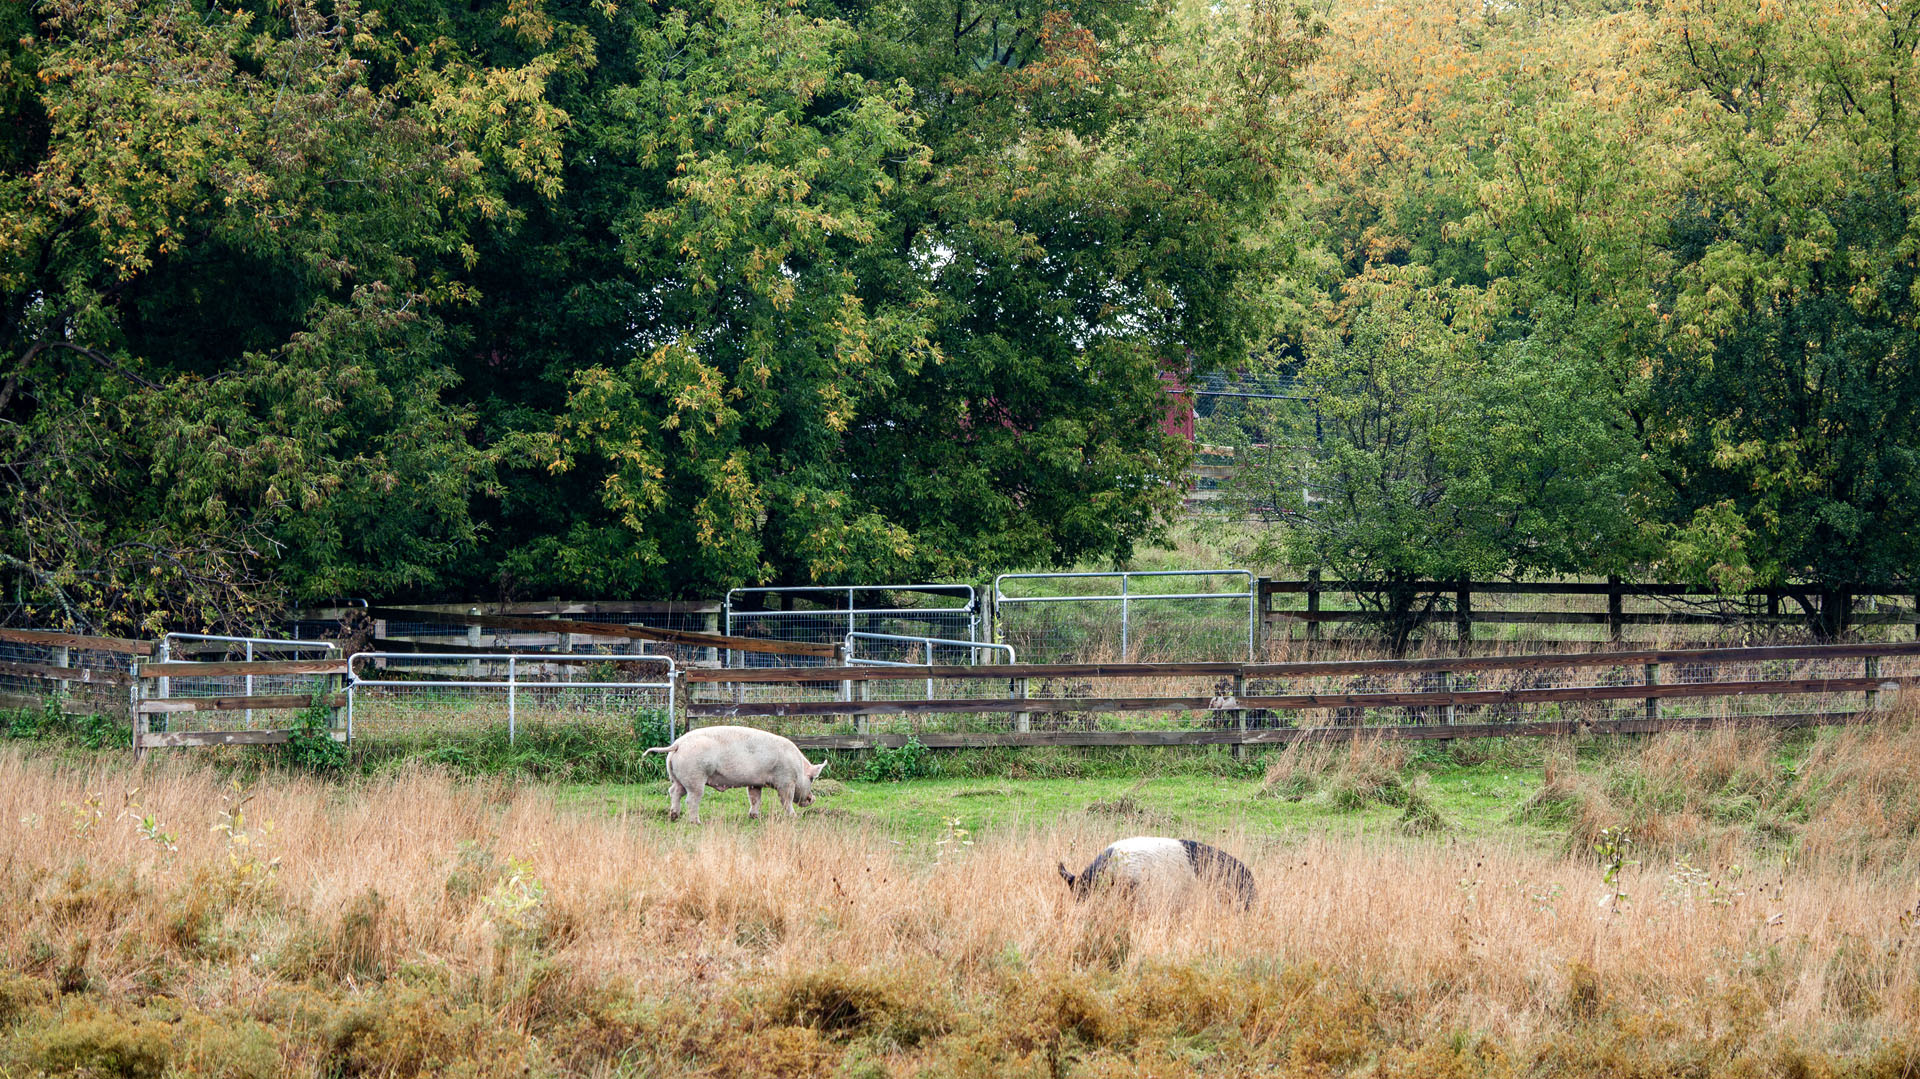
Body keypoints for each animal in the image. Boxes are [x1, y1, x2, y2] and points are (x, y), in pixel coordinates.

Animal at [642, 725, 828, 823]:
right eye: (812, 778)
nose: (812, 799)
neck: (798, 767)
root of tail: (678, 744)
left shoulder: (755, 783)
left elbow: (755, 799)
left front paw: (754, 817)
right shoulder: (785, 781)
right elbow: (786, 800)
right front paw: (794, 817)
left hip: (679, 778)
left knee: (674, 792)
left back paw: (673, 816)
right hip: (695, 777)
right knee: (691, 799)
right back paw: (696, 822)